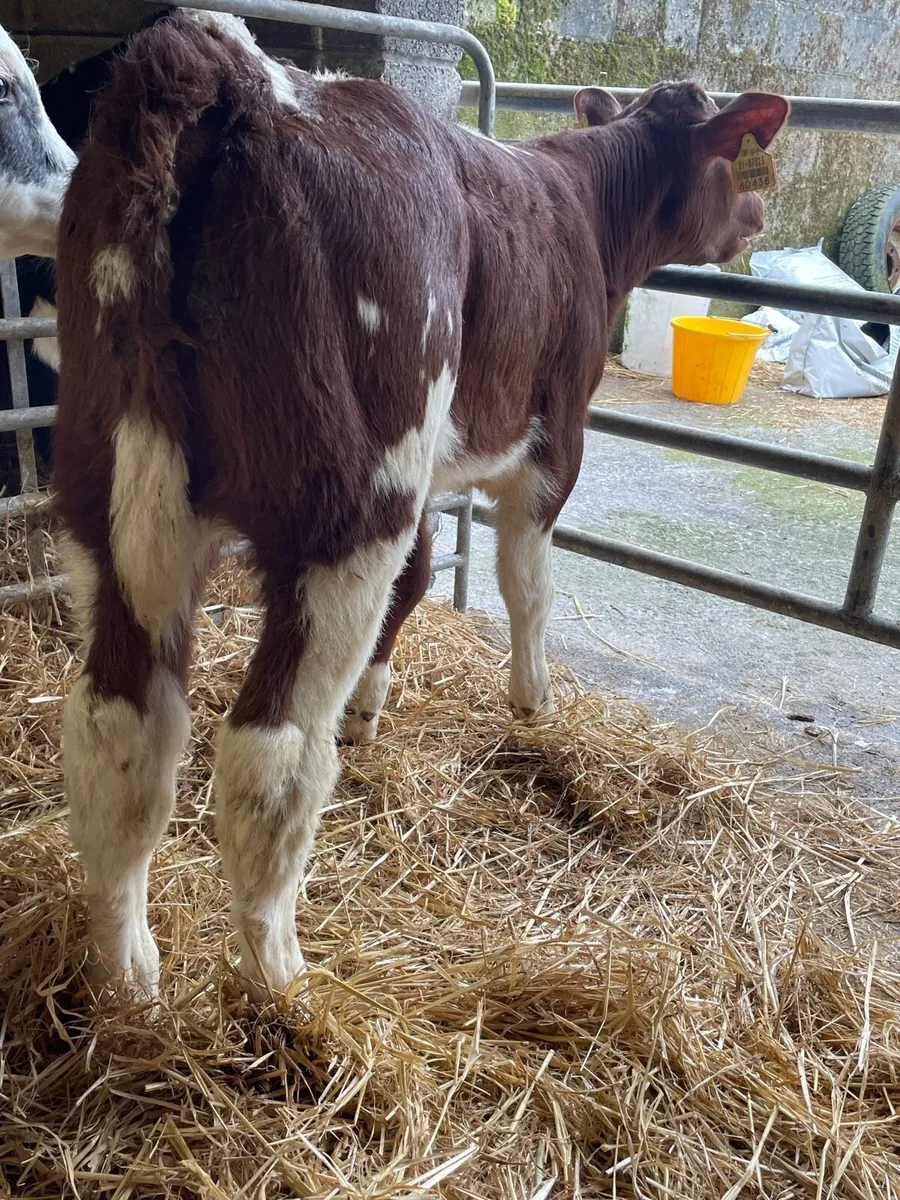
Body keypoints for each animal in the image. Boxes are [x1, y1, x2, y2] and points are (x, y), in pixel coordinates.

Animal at [45, 11, 788, 1000]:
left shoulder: (430, 474)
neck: (588, 208)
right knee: (269, 753)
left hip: (111, 494)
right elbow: (526, 584)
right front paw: (532, 699)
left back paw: (128, 975)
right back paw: (284, 980)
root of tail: (224, 63)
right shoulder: (554, 440)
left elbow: (425, 578)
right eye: (736, 163)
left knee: (118, 732)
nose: (757, 220)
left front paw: (371, 706)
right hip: (348, 505)